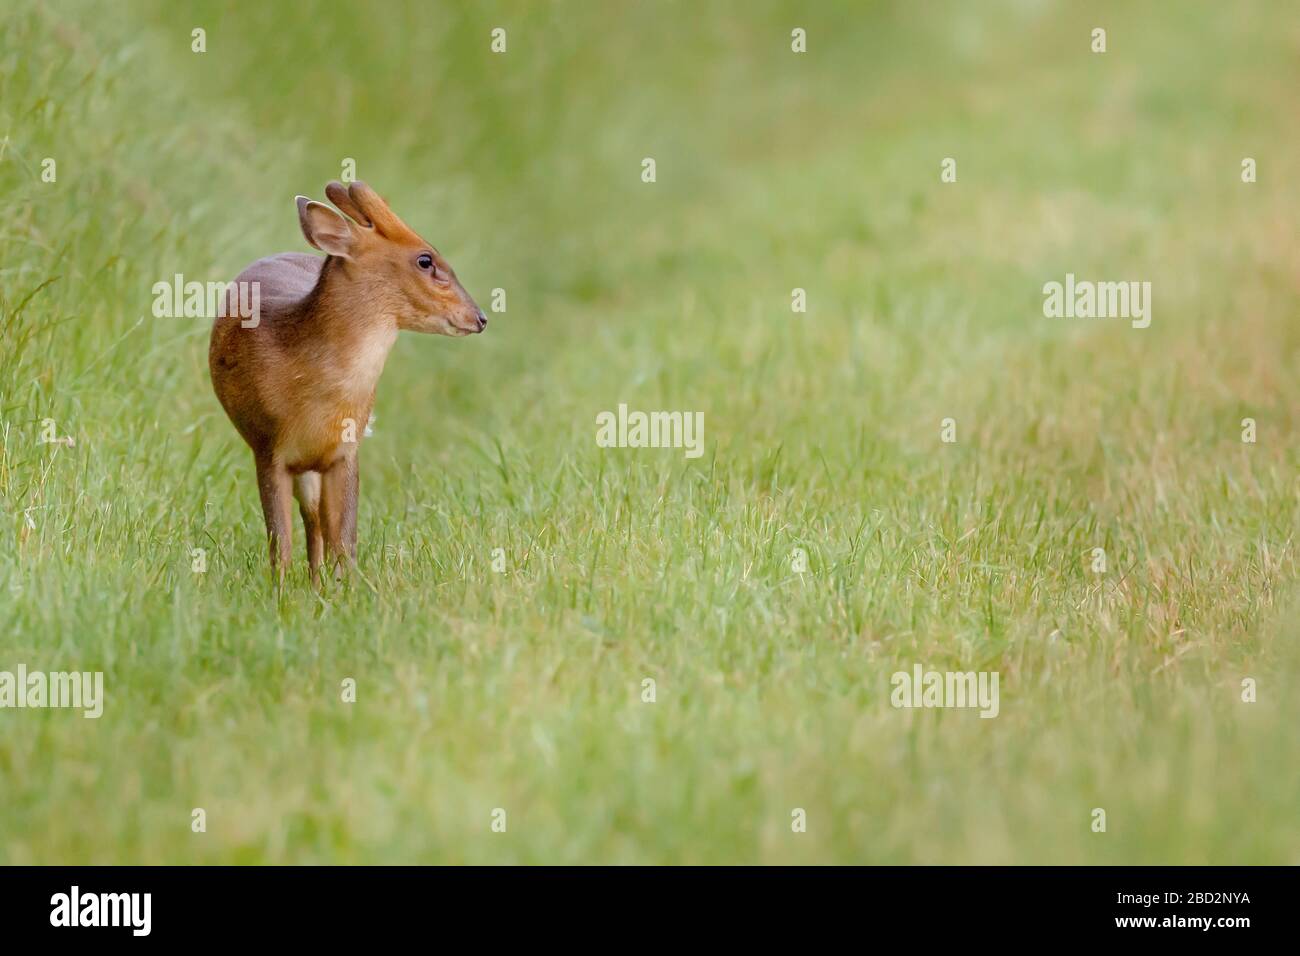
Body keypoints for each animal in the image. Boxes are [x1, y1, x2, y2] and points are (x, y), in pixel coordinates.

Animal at [209, 181, 486, 584]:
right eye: (425, 259)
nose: (480, 317)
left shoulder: (346, 450)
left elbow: (345, 538)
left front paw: (345, 589)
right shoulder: (267, 448)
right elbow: (281, 545)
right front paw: (281, 593)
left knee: (321, 525)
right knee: (311, 522)